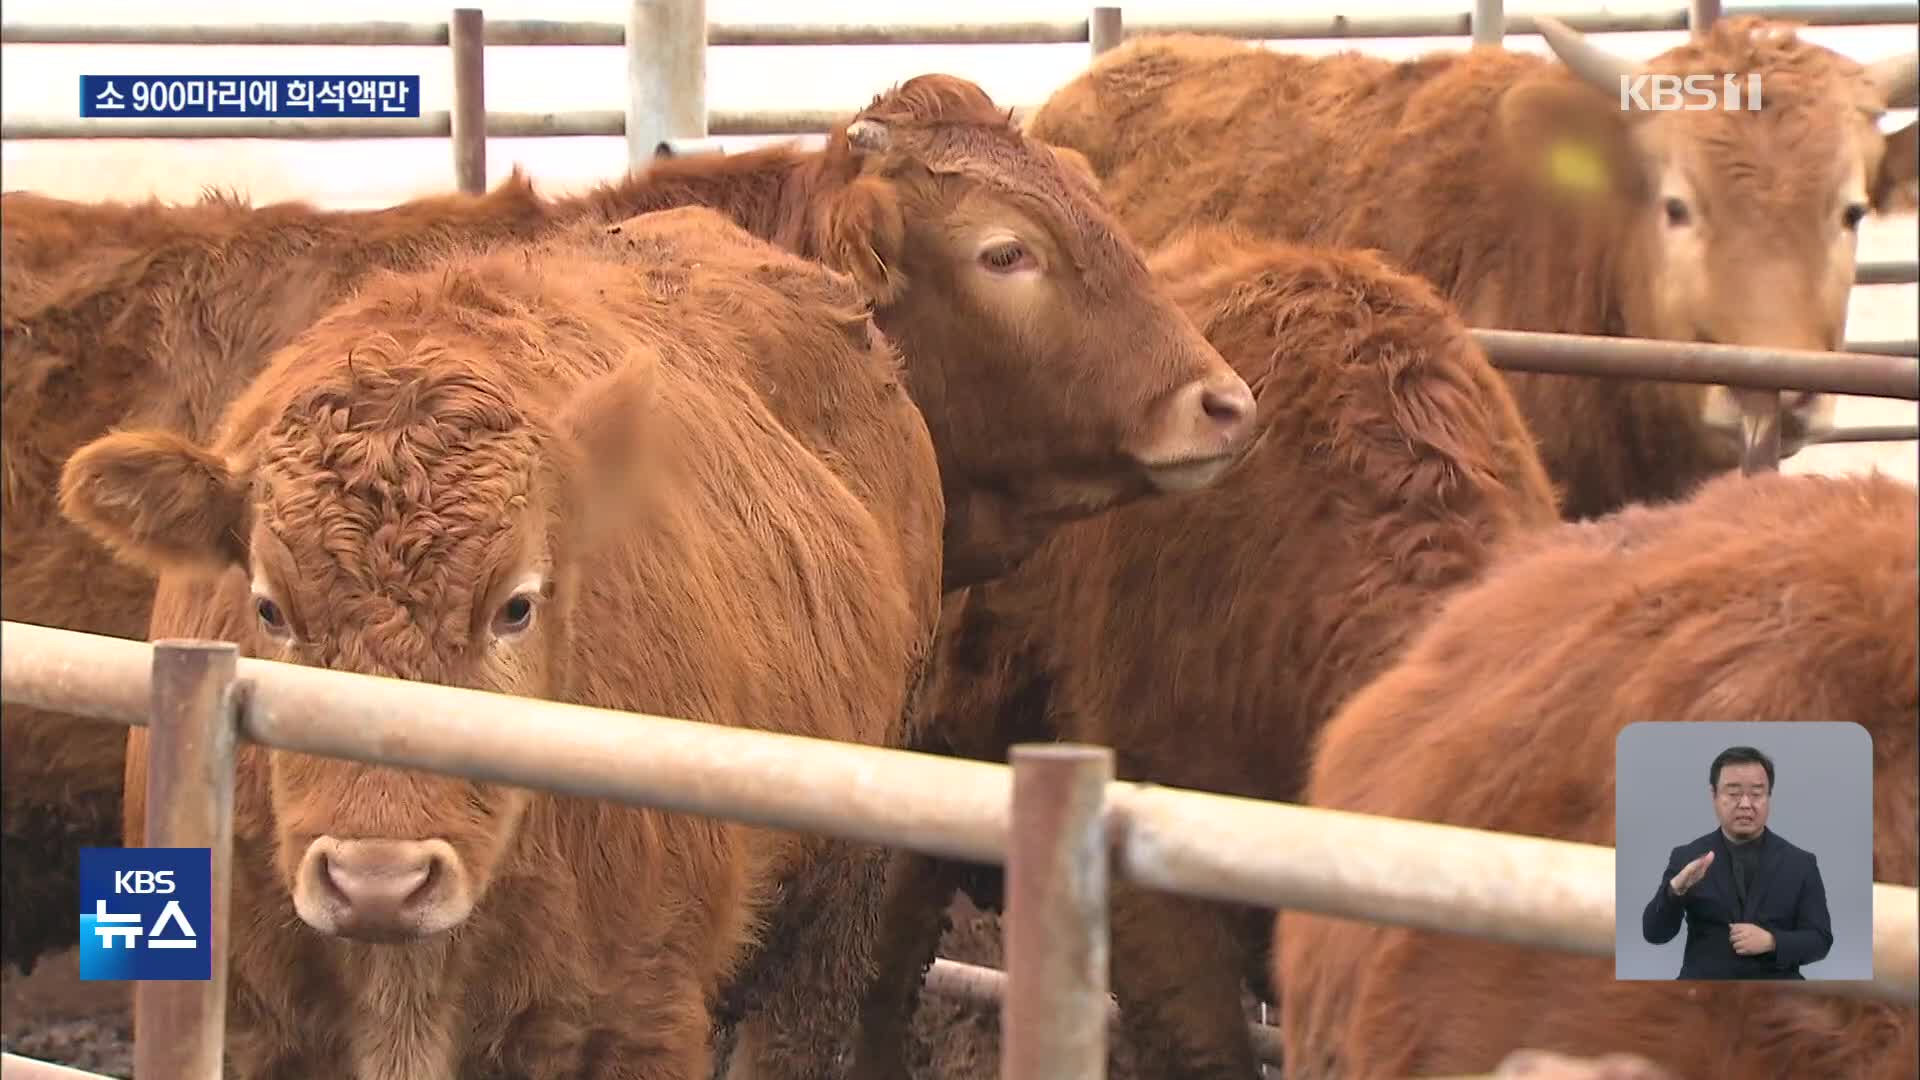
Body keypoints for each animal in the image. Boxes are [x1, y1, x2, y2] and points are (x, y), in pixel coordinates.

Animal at [63, 208, 948, 1076]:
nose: (378, 882)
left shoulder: (641, 1017)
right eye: (270, 609)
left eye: (516, 606)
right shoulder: (253, 1025)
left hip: (832, 910)